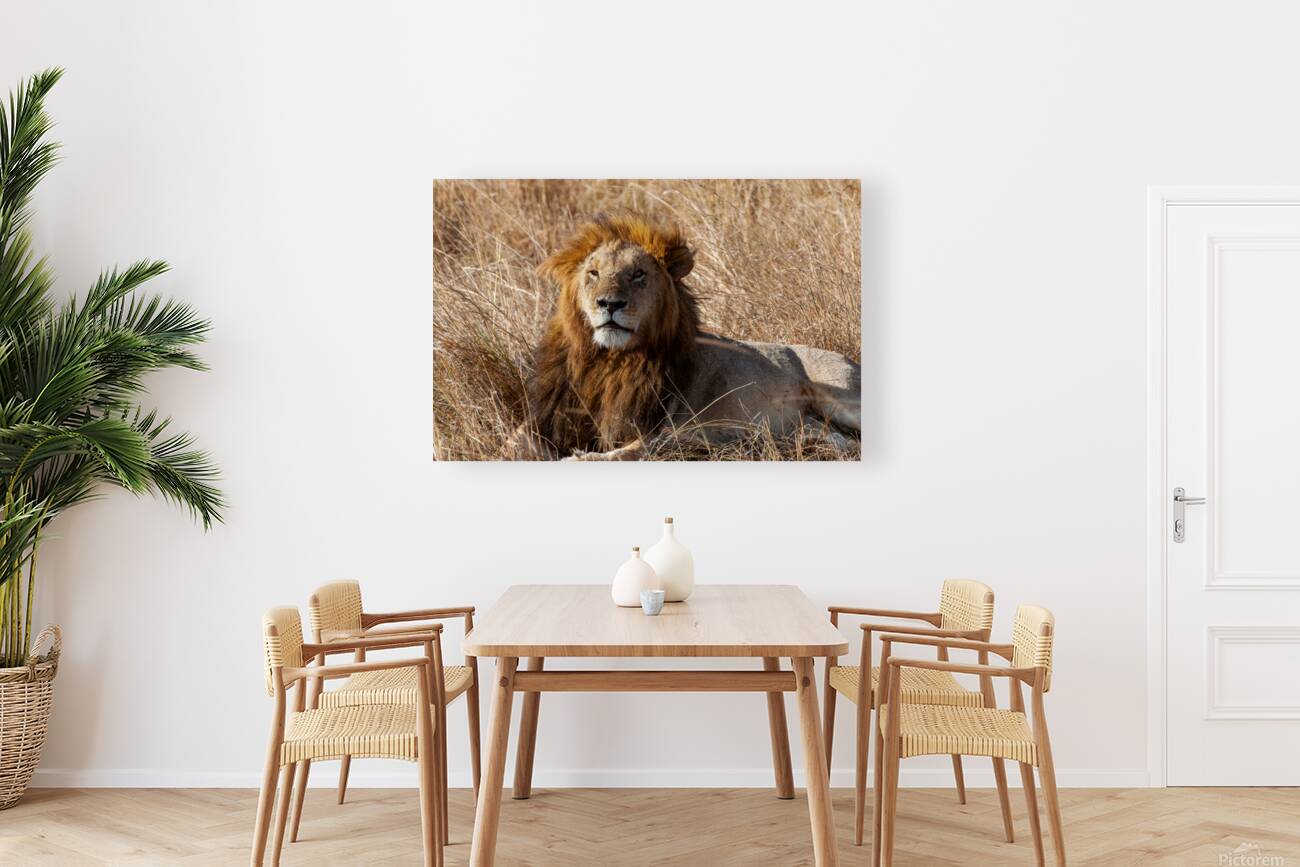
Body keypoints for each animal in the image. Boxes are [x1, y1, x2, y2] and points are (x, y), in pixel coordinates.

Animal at [506, 214, 861, 460]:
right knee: (837, 438)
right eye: (593, 273)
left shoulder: (661, 429)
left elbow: (624, 453)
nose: (610, 303)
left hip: (841, 398)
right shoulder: (550, 415)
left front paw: (581, 458)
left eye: (638, 274)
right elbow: (514, 440)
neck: (609, 361)